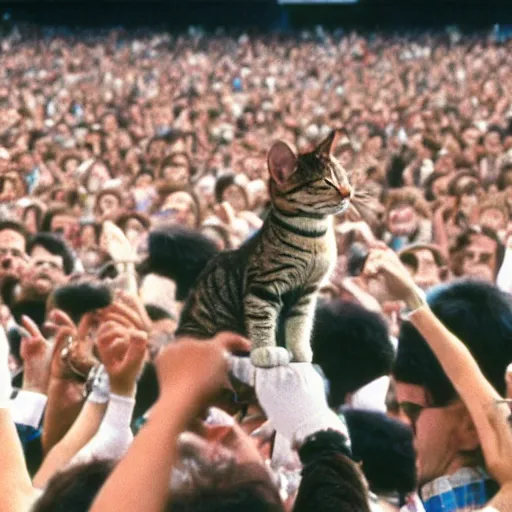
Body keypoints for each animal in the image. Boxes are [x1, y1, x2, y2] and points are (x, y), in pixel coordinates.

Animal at [176, 130, 352, 366]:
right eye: (325, 182)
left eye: (343, 176)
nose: (348, 192)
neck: (313, 235)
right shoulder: (263, 286)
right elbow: (262, 320)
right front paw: (265, 351)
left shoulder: (307, 292)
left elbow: (300, 324)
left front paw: (300, 352)